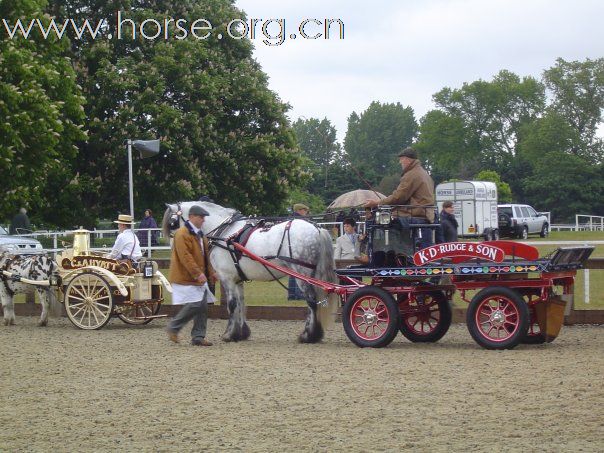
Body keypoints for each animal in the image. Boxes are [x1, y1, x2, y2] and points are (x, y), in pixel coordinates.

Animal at [162, 200, 340, 342]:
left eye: (172, 223)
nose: (174, 247)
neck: (224, 233)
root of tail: (317, 229)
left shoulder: (226, 277)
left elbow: (232, 305)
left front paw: (229, 334)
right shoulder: (237, 279)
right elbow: (241, 303)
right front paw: (241, 333)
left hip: (302, 274)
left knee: (311, 302)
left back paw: (308, 335)